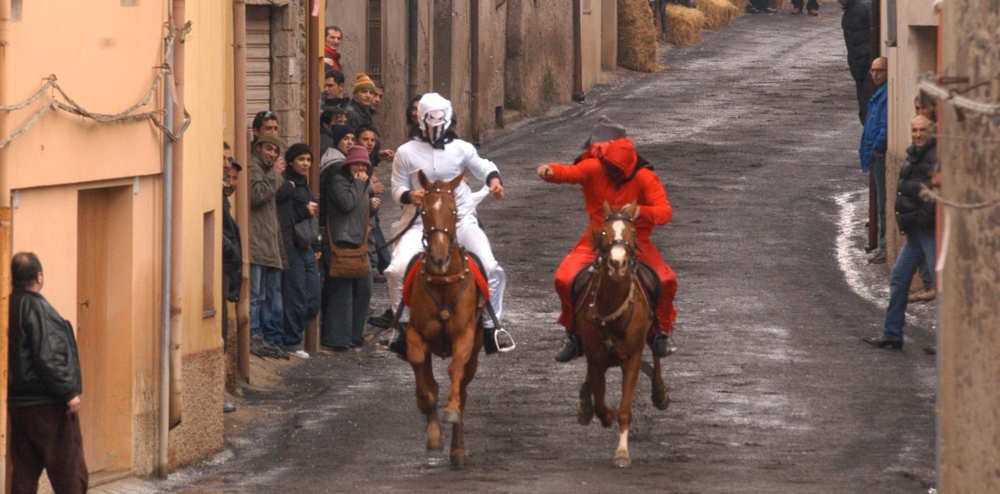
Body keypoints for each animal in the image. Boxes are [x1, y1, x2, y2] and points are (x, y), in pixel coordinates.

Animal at [406, 170, 484, 466]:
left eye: (453, 211)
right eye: (424, 211)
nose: (439, 258)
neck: (442, 282)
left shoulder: (465, 336)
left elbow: (455, 372)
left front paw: (450, 410)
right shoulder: (415, 335)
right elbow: (425, 380)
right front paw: (433, 433)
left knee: (463, 388)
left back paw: (458, 449)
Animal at [576, 200, 668, 466]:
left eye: (633, 233)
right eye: (604, 232)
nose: (617, 263)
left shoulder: (633, 358)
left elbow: (625, 409)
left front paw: (622, 452)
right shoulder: (595, 356)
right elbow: (601, 403)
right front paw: (603, 412)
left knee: (657, 352)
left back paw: (660, 391)